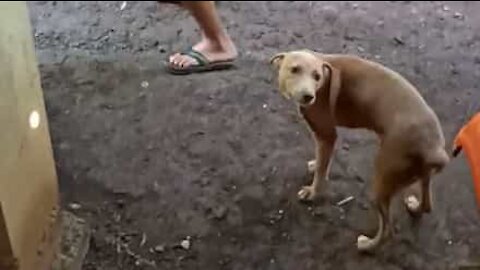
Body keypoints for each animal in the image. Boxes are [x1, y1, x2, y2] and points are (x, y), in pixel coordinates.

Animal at [270, 49, 450, 252]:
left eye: (317, 77)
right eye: (295, 69)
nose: (309, 96)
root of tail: (435, 149)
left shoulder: (327, 134)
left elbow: (321, 172)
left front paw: (312, 192)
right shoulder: (324, 139)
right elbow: (323, 161)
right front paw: (316, 164)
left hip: (383, 181)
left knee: (387, 230)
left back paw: (368, 245)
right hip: (420, 174)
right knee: (427, 205)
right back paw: (415, 207)